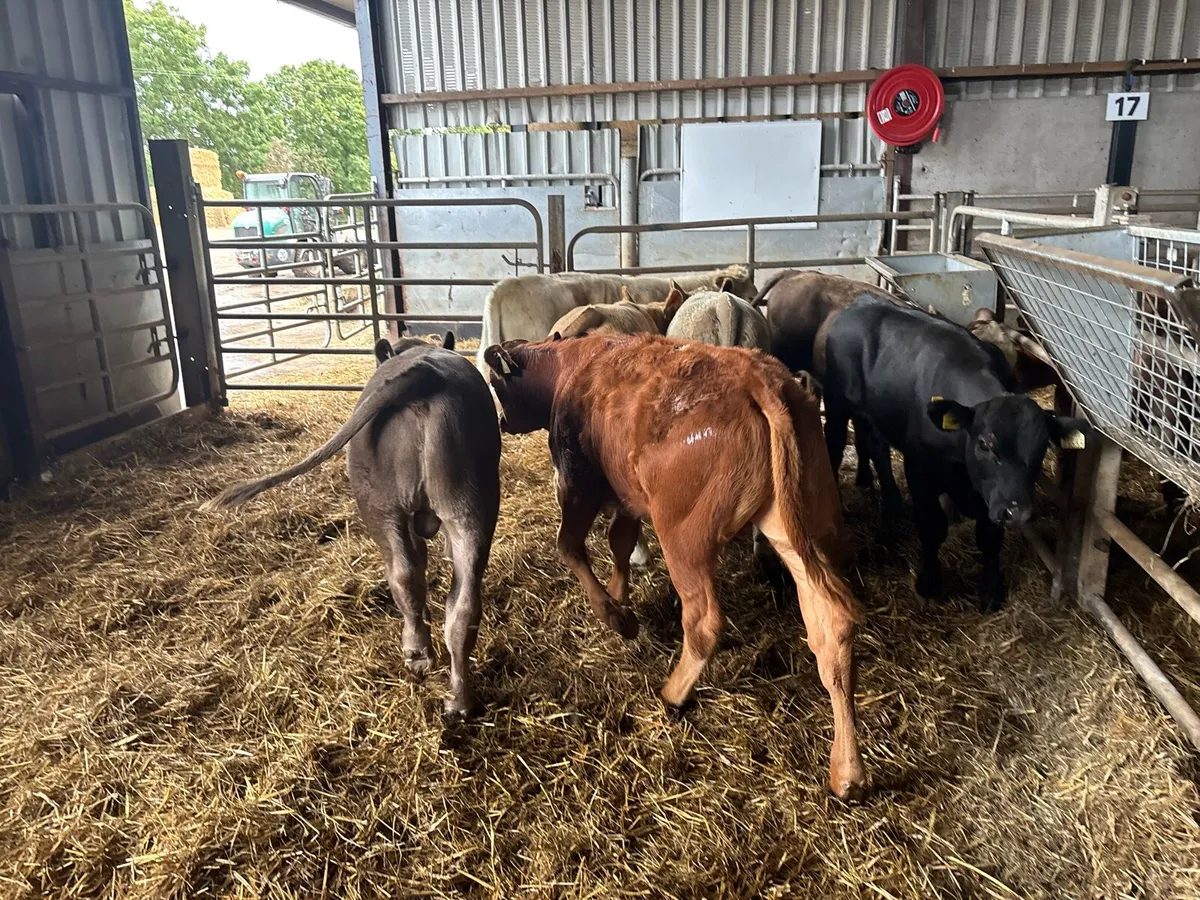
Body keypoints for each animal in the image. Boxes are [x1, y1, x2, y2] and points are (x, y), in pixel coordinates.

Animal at [203, 333, 501, 717]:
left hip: (381, 507)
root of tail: (425, 372)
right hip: (471, 510)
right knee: (462, 605)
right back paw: (459, 700)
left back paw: (416, 653)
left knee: (404, 575)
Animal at [482, 333, 867, 801]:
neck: (569, 366)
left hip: (683, 537)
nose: (501, 423)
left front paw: (614, 614)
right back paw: (848, 772)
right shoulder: (626, 496)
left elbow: (571, 547)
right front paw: (620, 597)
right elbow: (620, 542)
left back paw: (674, 693)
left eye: (496, 384)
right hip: (799, 527)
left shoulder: (578, 484)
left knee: (704, 621)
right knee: (831, 624)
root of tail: (759, 379)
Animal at [816, 296, 1091, 612]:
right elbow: (932, 527)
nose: (1018, 511)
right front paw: (928, 584)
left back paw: (893, 505)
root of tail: (861, 301)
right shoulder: (920, 469)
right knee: (836, 445)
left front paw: (992, 591)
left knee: (876, 448)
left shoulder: (989, 493)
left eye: (1042, 446)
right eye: (984, 444)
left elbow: (989, 538)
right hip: (836, 404)